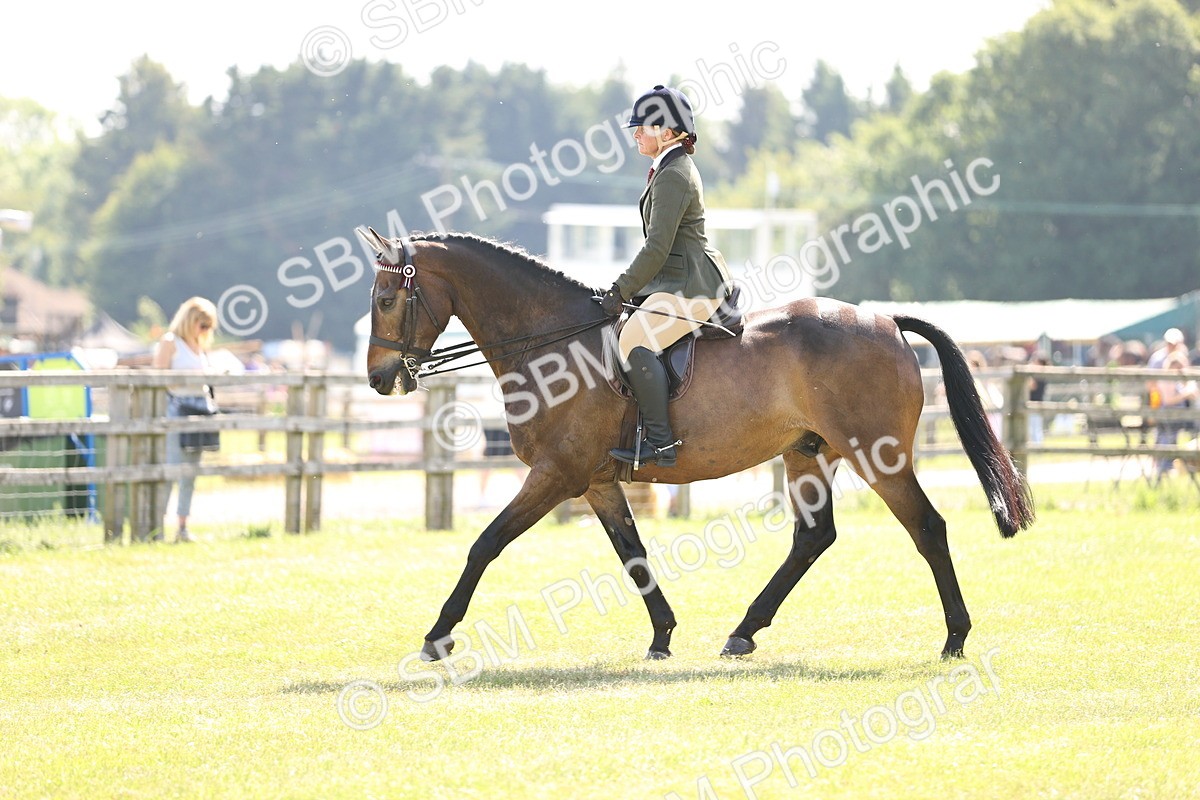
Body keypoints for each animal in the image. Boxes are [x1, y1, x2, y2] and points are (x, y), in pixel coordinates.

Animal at [360, 228, 1035, 663]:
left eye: (387, 299)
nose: (380, 379)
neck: (551, 339)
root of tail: (888, 321)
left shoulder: (556, 474)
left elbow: (484, 545)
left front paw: (437, 635)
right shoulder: (596, 482)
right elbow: (632, 555)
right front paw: (662, 636)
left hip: (879, 455)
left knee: (927, 527)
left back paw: (954, 638)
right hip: (806, 454)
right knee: (814, 537)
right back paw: (743, 632)